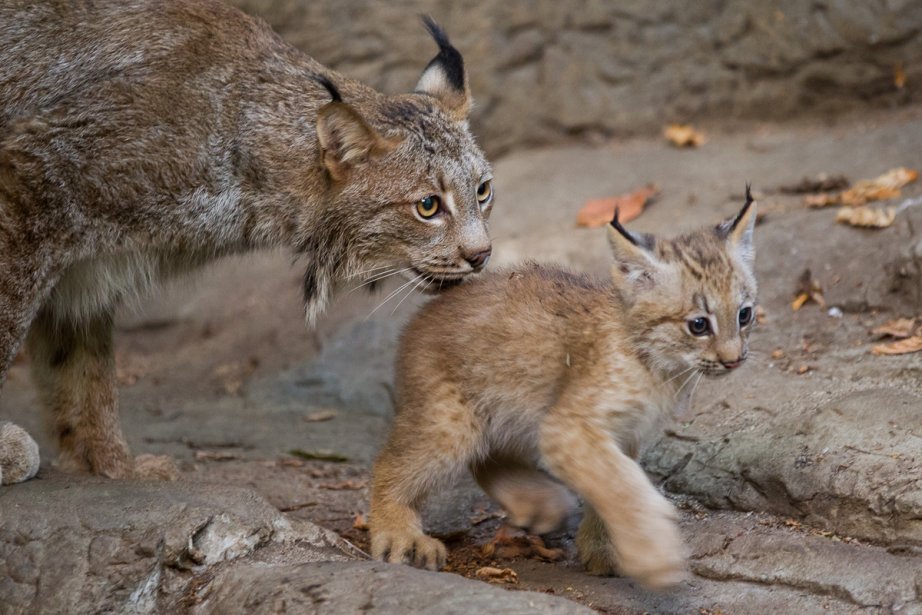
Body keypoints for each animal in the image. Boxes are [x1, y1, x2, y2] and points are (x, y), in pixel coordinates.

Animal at [366, 192, 756, 588]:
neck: (660, 364)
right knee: (389, 465)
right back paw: (399, 534)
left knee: (488, 458)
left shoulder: (622, 432)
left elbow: (614, 479)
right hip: (452, 422)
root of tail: (424, 312)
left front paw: (603, 547)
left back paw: (539, 504)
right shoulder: (569, 425)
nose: (734, 360)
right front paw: (653, 555)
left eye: (745, 315)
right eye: (698, 325)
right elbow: (621, 484)